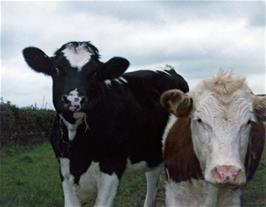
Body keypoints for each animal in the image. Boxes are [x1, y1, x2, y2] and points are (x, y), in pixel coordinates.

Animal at [22, 41, 189, 206]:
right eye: (57, 68)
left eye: (95, 72)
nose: (74, 100)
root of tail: (170, 69)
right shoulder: (64, 170)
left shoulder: (112, 167)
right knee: (152, 179)